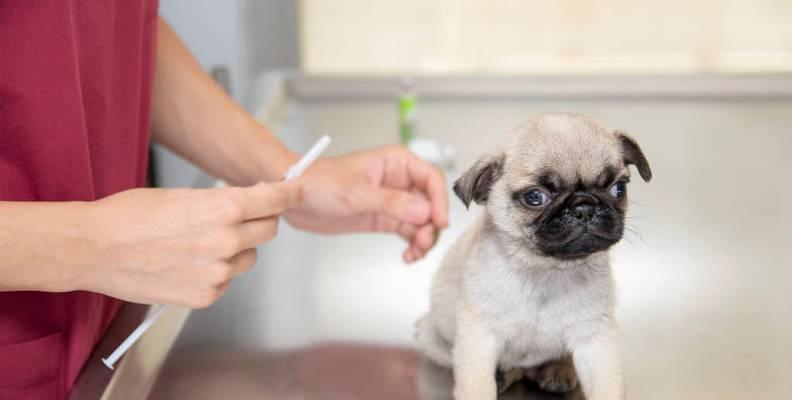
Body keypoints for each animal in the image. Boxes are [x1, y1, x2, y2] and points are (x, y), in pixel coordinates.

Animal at [414, 112, 648, 400]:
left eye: (618, 189)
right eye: (535, 197)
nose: (584, 207)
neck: (546, 269)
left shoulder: (595, 339)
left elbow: (607, 385)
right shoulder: (478, 336)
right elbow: (477, 384)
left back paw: (558, 370)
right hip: (431, 335)